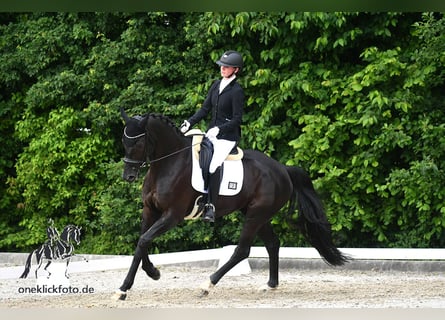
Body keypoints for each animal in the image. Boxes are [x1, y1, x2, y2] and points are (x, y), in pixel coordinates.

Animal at [115, 110, 346, 300]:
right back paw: (270, 285)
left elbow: (144, 240)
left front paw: (125, 287)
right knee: (272, 244)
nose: (128, 176)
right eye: (124, 142)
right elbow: (141, 242)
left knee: (242, 250)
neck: (168, 164)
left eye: (138, 144)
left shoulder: (172, 215)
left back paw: (207, 285)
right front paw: (150, 274)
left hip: (256, 215)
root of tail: (282, 169)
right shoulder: (150, 210)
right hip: (257, 215)